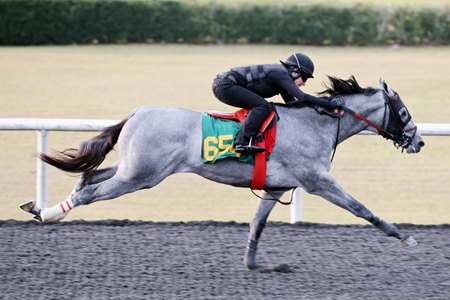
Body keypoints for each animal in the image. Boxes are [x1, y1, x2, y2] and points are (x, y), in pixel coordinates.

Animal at [22, 76, 426, 270]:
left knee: (89, 178)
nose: (419, 141)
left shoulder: (277, 185)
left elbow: (257, 224)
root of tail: (136, 113)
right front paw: (405, 237)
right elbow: (362, 209)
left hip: (132, 168)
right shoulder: (317, 181)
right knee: (89, 192)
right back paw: (47, 213)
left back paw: (43, 208)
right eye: (404, 111)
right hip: (141, 175)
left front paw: (256, 265)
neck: (318, 122)